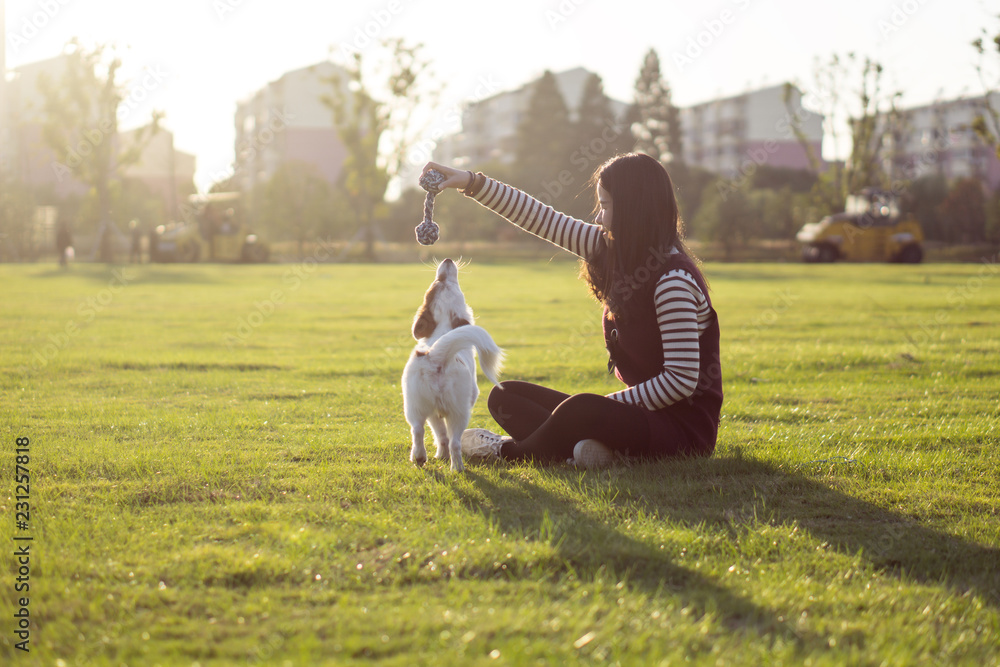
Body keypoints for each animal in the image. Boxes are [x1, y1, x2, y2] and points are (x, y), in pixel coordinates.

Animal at [402, 258, 504, 472]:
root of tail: (437, 356)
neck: (443, 331)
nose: (448, 260)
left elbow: (440, 434)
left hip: (414, 405)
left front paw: (440, 455)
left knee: (417, 430)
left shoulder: (433, 413)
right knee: (455, 441)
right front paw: (445, 457)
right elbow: (446, 437)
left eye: (437, 283)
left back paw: (419, 457)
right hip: (459, 412)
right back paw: (457, 467)